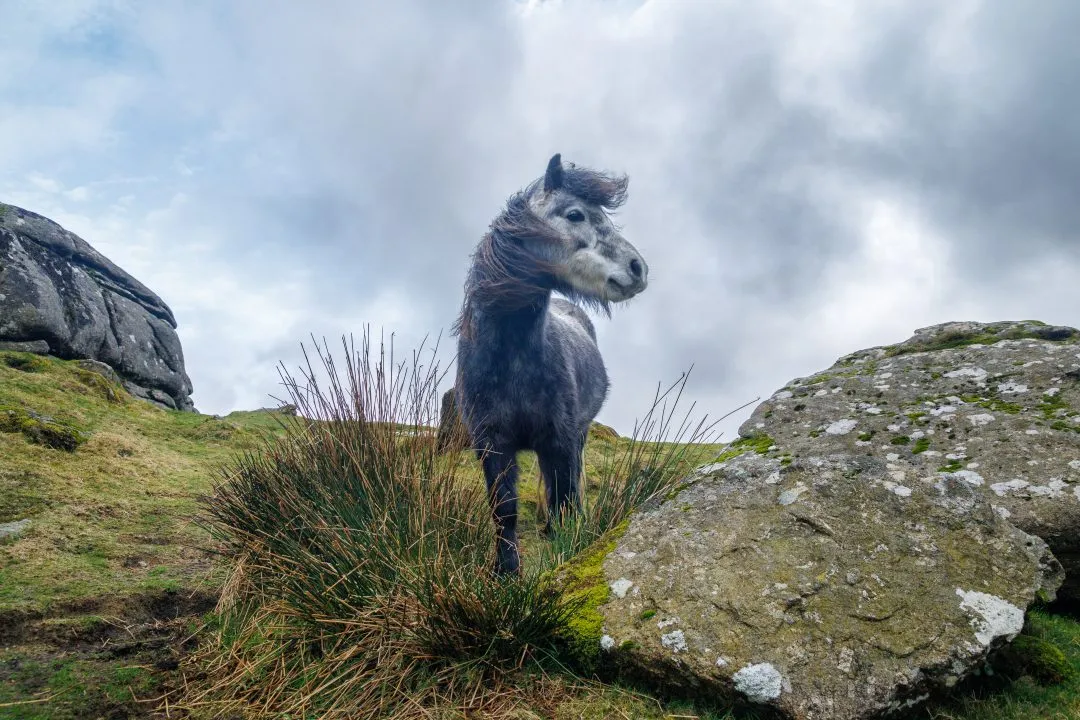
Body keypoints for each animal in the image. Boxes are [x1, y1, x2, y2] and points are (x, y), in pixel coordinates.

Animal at [453, 153, 649, 575]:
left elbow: (564, 500)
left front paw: (564, 555)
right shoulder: (492, 445)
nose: (638, 268)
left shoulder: (560, 440)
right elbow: (504, 511)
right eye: (575, 214)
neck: (513, 361)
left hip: (578, 435)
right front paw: (506, 571)